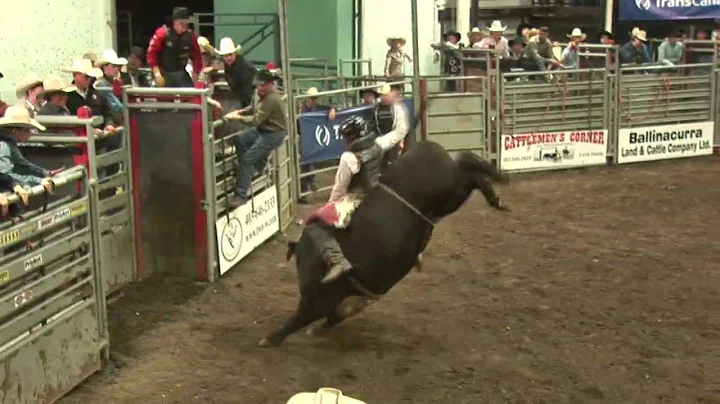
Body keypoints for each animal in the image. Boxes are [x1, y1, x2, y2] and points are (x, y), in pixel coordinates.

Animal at [256, 140, 510, 346]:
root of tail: (425, 147)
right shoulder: (345, 299)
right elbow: (334, 316)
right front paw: (316, 331)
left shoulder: (318, 298)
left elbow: (300, 318)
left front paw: (269, 339)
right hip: (449, 198)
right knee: (469, 170)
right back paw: (496, 193)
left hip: (448, 187)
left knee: (469, 166)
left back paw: (496, 187)